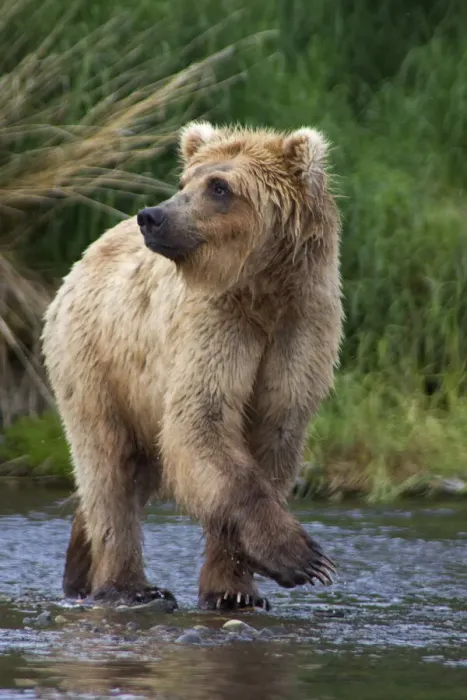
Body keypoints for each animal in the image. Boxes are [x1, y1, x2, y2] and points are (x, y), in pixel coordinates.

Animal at [41, 120, 343, 612]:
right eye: (185, 182)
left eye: (219, 187)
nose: (152, 216)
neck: (265, 292)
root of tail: (84, 257)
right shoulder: (214, 324)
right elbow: (202, 421)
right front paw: (305, 558)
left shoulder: (301, 332)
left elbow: (272, 436)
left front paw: (234, 589)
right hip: (95, 361)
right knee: (109, 471)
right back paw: (129, 586)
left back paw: (79, 571)